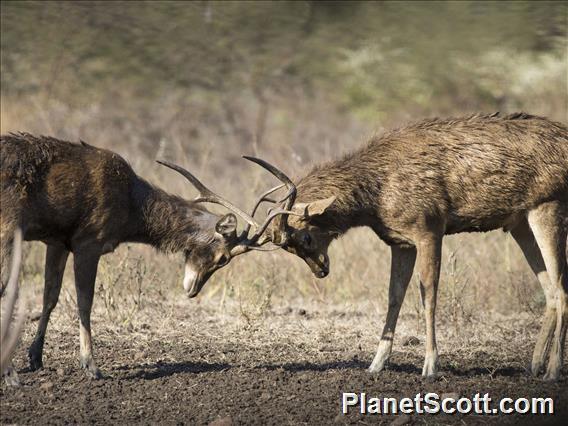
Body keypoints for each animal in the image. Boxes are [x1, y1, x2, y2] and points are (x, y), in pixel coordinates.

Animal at [1, 133, 288, 380]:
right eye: (223, 258)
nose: (193, 289)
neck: (132, 213)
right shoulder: (89, 241)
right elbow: (85, 302)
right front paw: (91, 365)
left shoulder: (58, 240)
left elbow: (50, 296)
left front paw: (36, 358)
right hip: (9, 228)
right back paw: (9, 370)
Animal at [248, 112, 568, 380]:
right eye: (290, 249)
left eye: (305, 237)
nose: (320, 271)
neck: (373, 200)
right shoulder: (400, 242)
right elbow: (394, 296)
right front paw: (376, 364)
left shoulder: (429, 228)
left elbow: (429, 295)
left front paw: (430, 366)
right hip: (519, 222)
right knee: (549, 291)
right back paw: (533, 366)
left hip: (549, 205)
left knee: (561, 289)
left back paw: (552, 371)